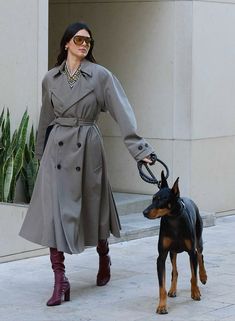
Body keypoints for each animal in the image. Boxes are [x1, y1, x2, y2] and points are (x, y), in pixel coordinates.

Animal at [143, 171, 207, 314]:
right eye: (153, 198)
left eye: (161, 200)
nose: (144, 212)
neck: (173, 219)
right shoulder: (161, 256)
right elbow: (162, 286)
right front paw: (162, 306)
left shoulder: (191, 253)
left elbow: (193, 276)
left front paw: (195, 293)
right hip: (172, 252)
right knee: (174, 271)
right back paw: (172, 290)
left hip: (198, 239)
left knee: (200, 255)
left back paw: (203, 276)